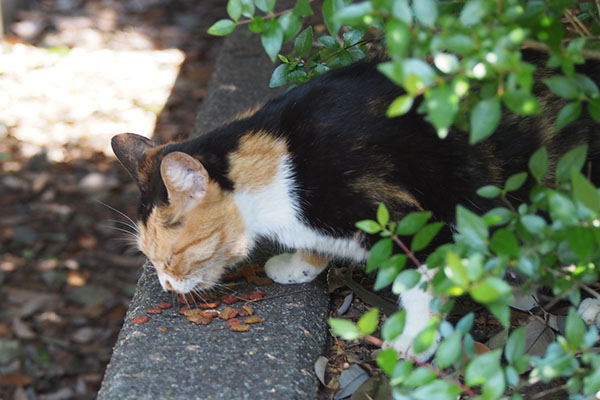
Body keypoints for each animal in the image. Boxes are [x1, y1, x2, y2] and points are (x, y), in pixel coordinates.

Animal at [112, 51, 600, 360]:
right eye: (150, 258)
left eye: (173, 256)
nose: (167, 286)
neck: (278, 167)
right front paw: (300, 265)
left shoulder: (408, 218)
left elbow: (421, 280)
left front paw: (415, 340)